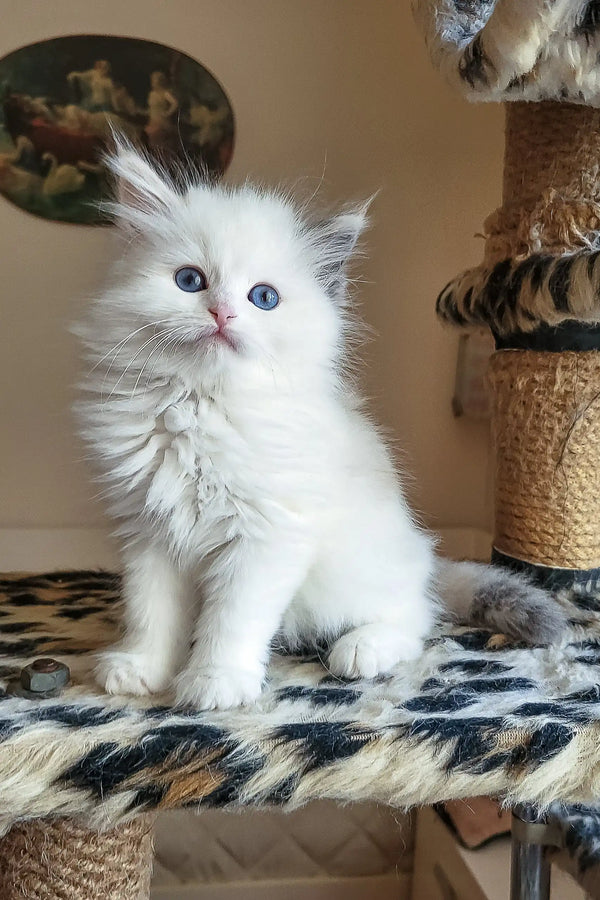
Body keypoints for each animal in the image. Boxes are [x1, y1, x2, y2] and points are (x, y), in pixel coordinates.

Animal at [74, 144, 564, 712]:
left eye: (263, 298)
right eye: (190, 281)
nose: (222, 314)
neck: (200, 406)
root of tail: (424, 557)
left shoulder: (264, 535)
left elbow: (232, 620)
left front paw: (215, 681)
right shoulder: (148, 531)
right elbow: (151, 612)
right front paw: (142, 667)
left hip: (354, 575)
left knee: (419, 615)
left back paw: (362, 648)